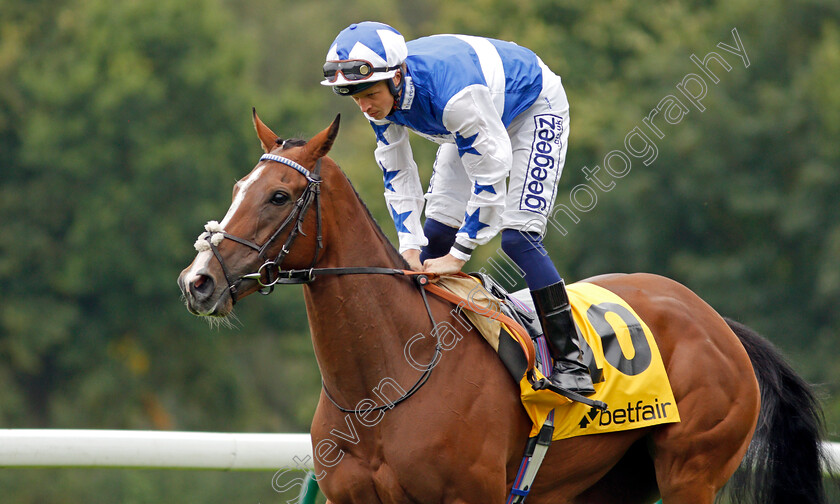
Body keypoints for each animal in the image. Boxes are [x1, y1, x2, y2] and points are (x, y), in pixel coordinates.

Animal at [177, 114, 828, 504]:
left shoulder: (473, 495)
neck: (384, 381)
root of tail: (721, 324)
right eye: (237, 188)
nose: (198, 281)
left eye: (278, 196)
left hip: (692, 469)